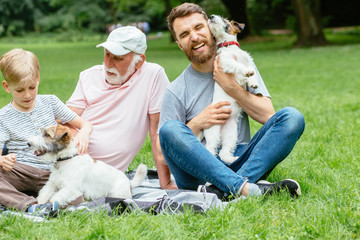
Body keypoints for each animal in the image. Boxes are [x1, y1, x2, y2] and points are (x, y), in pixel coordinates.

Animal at [201, 15, 260, 164]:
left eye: (224, 20)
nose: (211, 16)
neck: (229, 46)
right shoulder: (225, 62)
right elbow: (238, 65)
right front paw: (247, 72)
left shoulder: (248, 61)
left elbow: (251, 73)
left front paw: (253, 82)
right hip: (213, 132)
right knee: (210, 149)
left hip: (231, 135)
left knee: (224, 152)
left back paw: (231, 159)